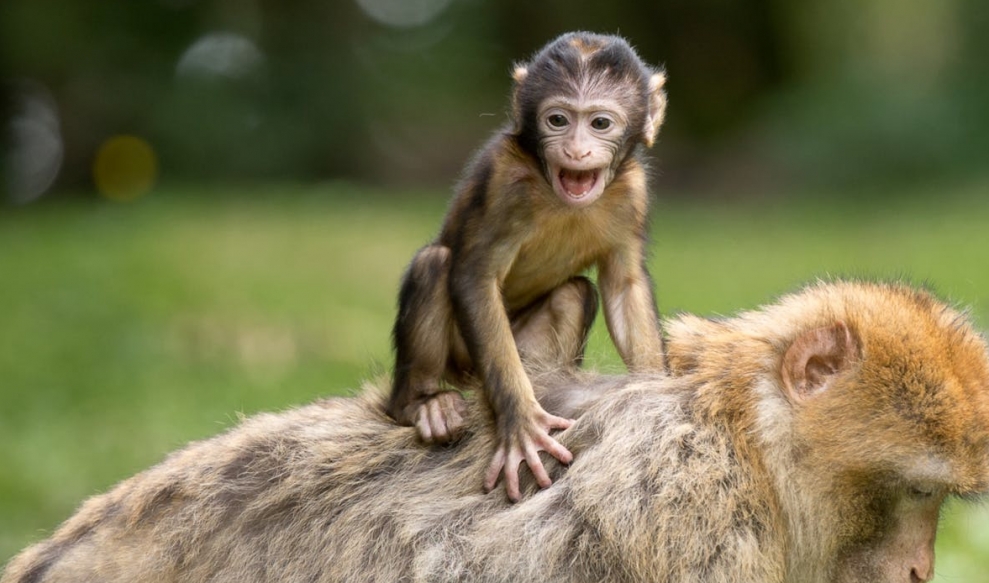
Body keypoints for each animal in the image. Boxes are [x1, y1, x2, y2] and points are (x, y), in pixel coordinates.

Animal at [386, 30, 664, 502]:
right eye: (558, 120)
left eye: (599, 124)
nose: (575, 149)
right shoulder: (504, 180)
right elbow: (474, 278)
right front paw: (521, 424)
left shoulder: (633, 192)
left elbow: (623, 286)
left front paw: (656, 396)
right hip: (463, 361)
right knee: (435, 264)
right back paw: (420, 404)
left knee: (574, 293)